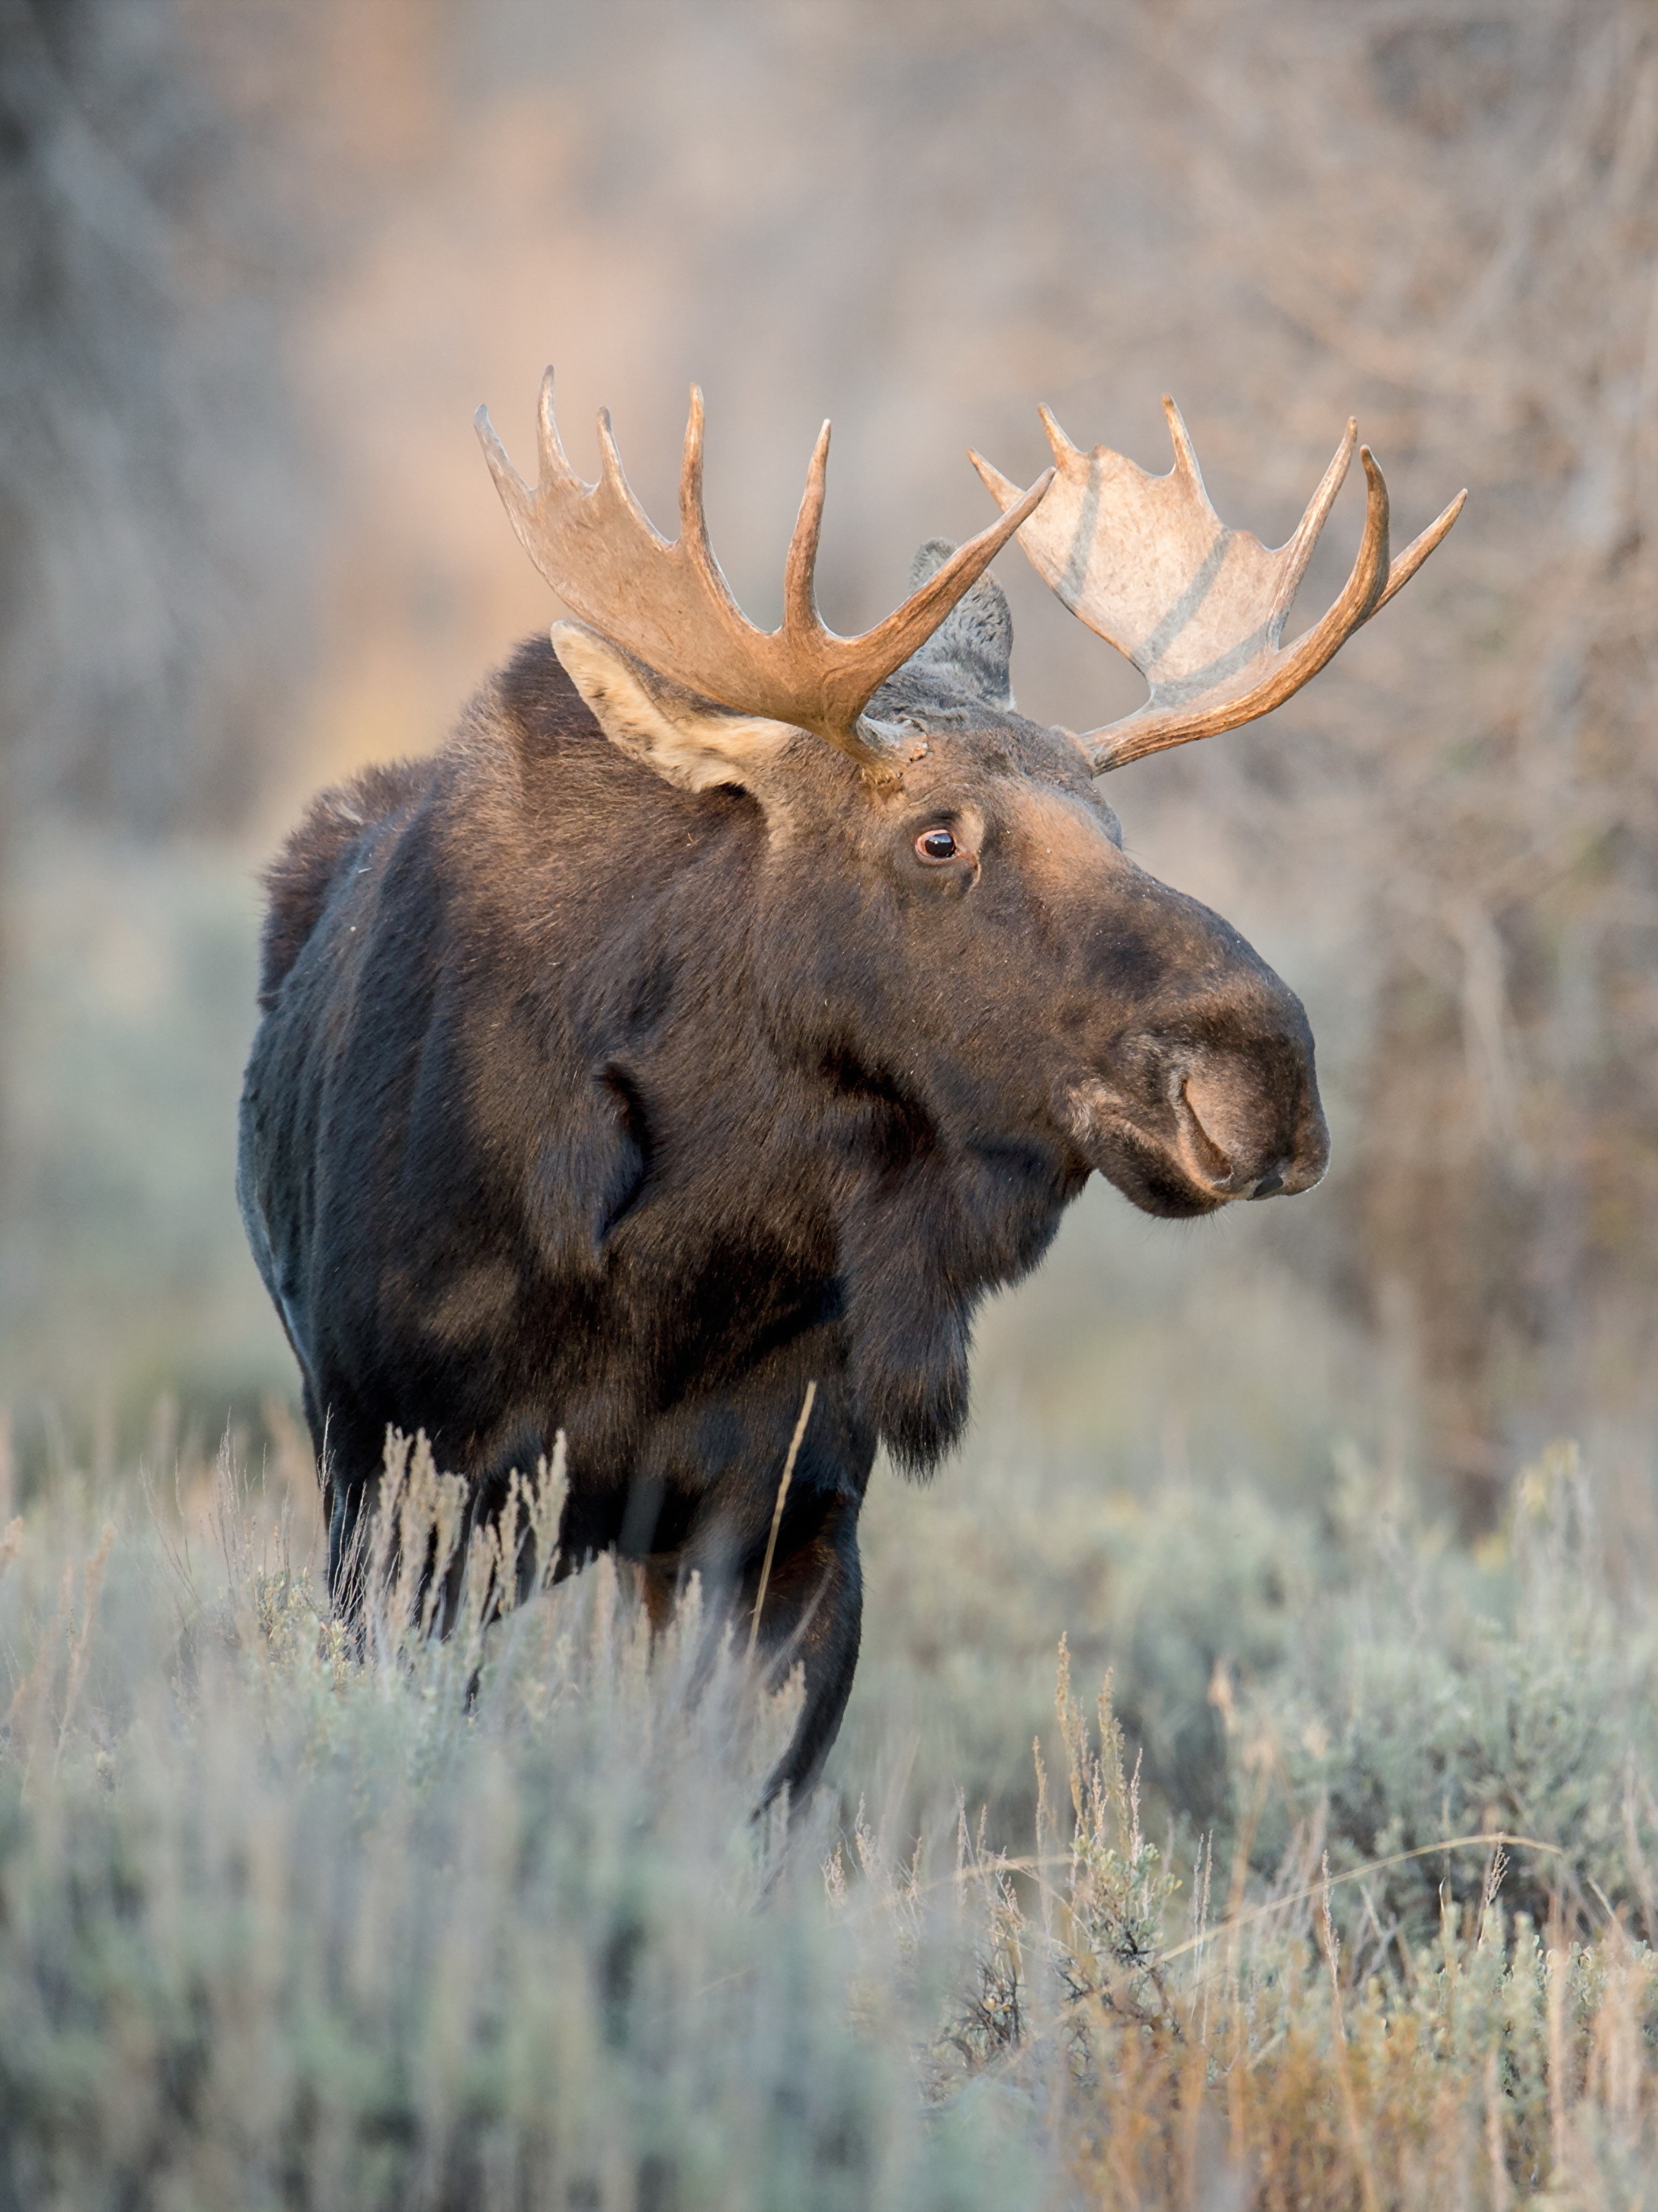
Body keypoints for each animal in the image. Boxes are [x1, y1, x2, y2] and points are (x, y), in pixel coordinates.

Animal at [240, 376, 1459, 1796]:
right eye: (938, 837)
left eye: (1116, 830)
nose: (1264, 1075)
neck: (671, 1268)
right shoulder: (404, 1492)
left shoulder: (793, 1518)